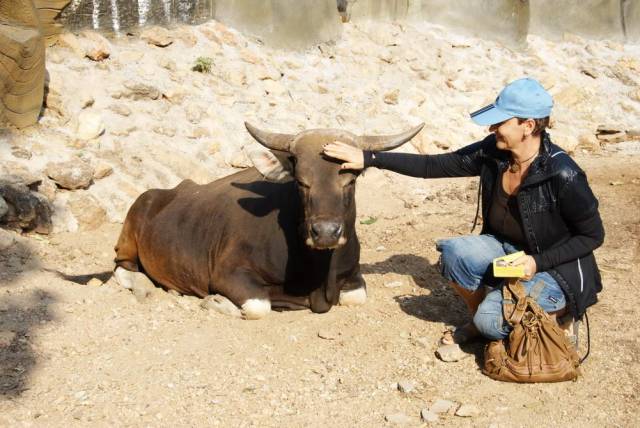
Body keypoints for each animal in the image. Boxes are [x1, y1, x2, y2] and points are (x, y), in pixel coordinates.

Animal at [115, 122, 424, 320]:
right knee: (122, 267)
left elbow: (357, 297)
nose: (325, 233)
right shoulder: (229, 273)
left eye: (350, 180)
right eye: (301, 182)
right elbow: (258, 306)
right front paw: (216, 302)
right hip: (128, 234)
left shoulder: (354, 277)